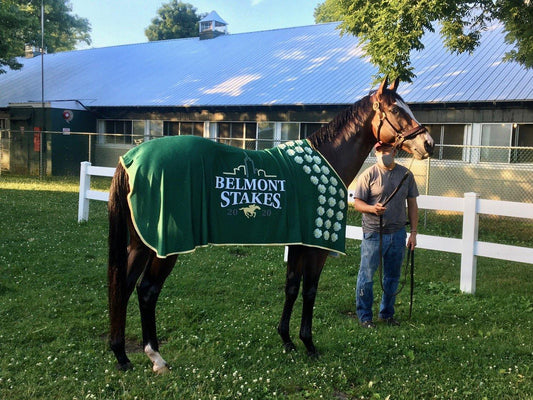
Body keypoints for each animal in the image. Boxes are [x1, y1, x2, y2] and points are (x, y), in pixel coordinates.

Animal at [107, 76, 432, 374]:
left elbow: (291, 287)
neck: (327, 159)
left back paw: (122, 356)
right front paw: (309, 344)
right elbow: (309, 290)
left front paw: (287, 340)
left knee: (123, 286)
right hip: (166, 246)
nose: (426, 143)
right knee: (147, 291)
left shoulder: (298, 242)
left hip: (141, 243)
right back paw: (156, 358)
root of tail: (131, 159)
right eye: (396, 109)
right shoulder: (317, 246)